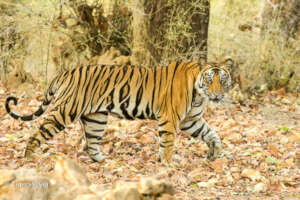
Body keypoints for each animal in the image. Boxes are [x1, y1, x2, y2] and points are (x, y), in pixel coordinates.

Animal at [5, 58, 234, 165]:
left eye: (222, 80)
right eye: (209, 80)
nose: (216, 95)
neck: (199, 94)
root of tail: (65, 73)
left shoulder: (191, 120)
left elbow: (212, 135)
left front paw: (214, 154)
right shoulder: (170, 118)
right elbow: (168, 143)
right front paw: (168, 165)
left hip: (96, 118)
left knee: (91, 144)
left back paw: (104, 161)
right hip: (65, 111)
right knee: (38, 133)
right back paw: (28, 159)